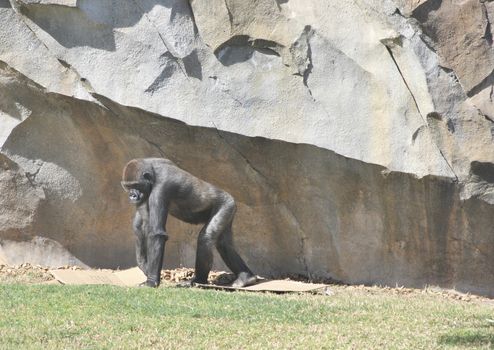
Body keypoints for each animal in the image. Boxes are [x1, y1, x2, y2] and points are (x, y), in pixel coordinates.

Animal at [121, 158, 256, 288]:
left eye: (136, 185)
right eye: (127, 186)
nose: (132, 196)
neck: (152, 175)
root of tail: (231, 198)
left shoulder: (160, 189)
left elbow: (156, 234)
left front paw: (152, 281)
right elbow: (140, 226)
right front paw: (144, 266)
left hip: (226, 205)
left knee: (206, 238)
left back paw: (199, 279)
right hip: (229, 209)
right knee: (223, 244)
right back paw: (246, 277)